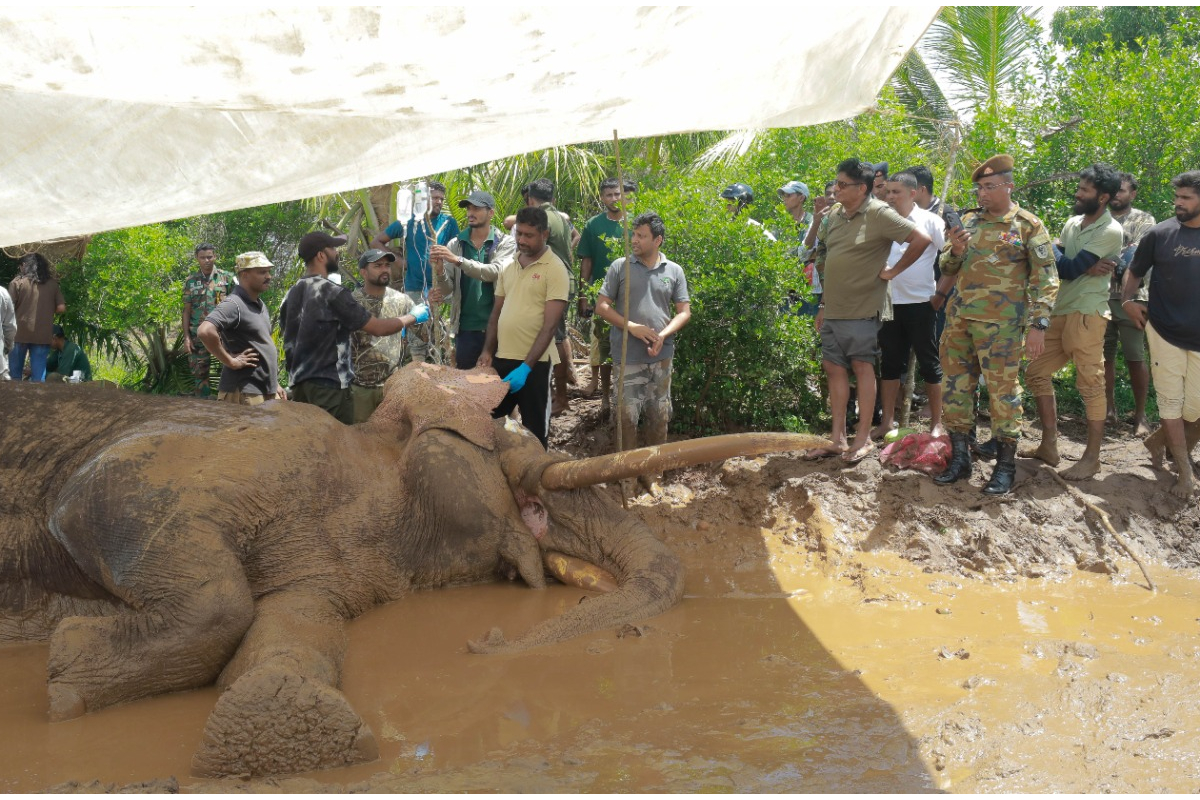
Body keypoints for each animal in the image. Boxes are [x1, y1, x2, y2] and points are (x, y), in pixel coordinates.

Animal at [0, 363, 822, 777]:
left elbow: (294, 621)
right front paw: (67, 670)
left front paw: (277, 727)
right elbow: (98, 501)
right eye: (516, 454)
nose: (483, 640)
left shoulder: (335, 571)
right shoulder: (185, 461)